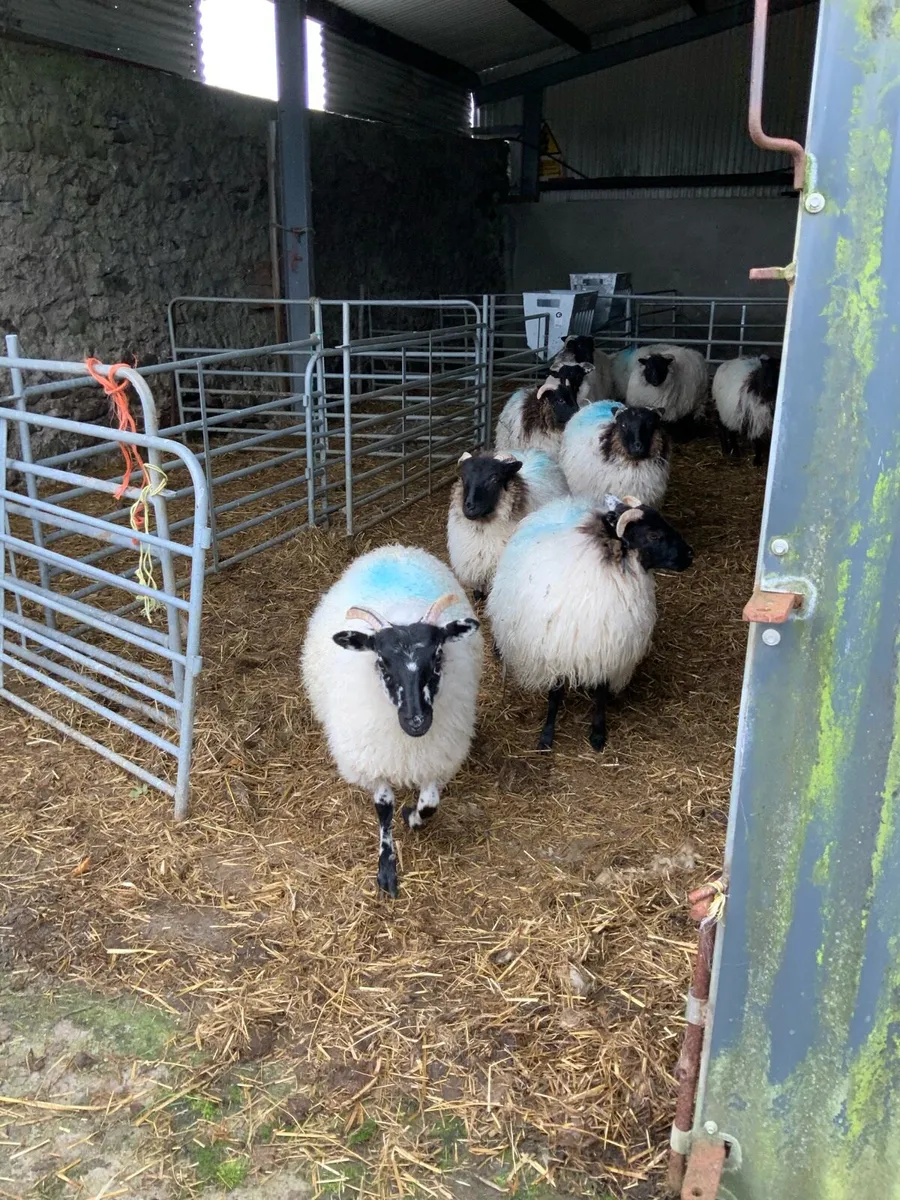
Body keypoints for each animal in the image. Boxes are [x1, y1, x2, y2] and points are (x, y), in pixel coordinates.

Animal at [301, 546, 482, 897]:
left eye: (438, 656)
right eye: (382, 662)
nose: (417, 722)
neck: (407, 746)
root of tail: (394, 548)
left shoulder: (436, 756)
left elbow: (430, 803)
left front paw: (412, 816)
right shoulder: (373, 760)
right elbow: (383, 808)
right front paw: (386, 869)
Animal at [487, 494, 693, 752]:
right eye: (653, 535)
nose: (690, 554)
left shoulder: (607, 647)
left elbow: (601, 694)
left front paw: (598, 733)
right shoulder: (557, 649)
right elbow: (555, 695)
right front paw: (546, 736)